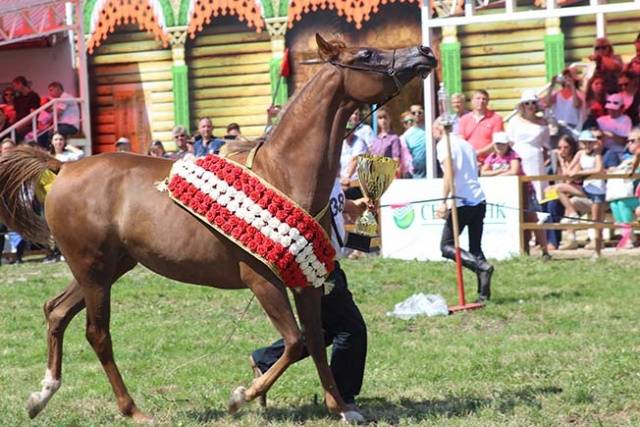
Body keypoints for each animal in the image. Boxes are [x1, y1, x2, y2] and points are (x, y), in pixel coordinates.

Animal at [0, 35, 436, 422]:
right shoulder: (262, 281)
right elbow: (295, 343)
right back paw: (133, 410)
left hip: (108, 267)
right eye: (367, 54)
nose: (425, 52)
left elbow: (313, 339)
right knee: (97, 333)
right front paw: (241, 396)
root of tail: (63, 167)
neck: (283, 173)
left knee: (57, 311)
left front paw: (341, 407)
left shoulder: (308, 283)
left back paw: (41, 396)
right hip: (93, 270)